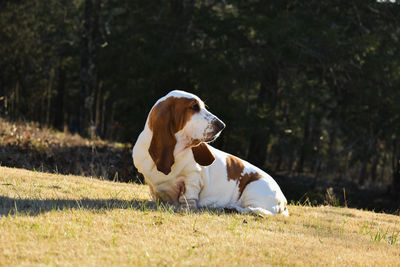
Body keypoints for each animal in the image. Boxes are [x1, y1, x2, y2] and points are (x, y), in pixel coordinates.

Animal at [133, 91, 290, 217]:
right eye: (194, 107)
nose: (222, 125)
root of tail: (283, 201)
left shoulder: (192, 179)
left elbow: (188, 198)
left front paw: (183, 208)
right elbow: (155, 196)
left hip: (253, 188)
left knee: (260, 211)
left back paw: (232, 208)